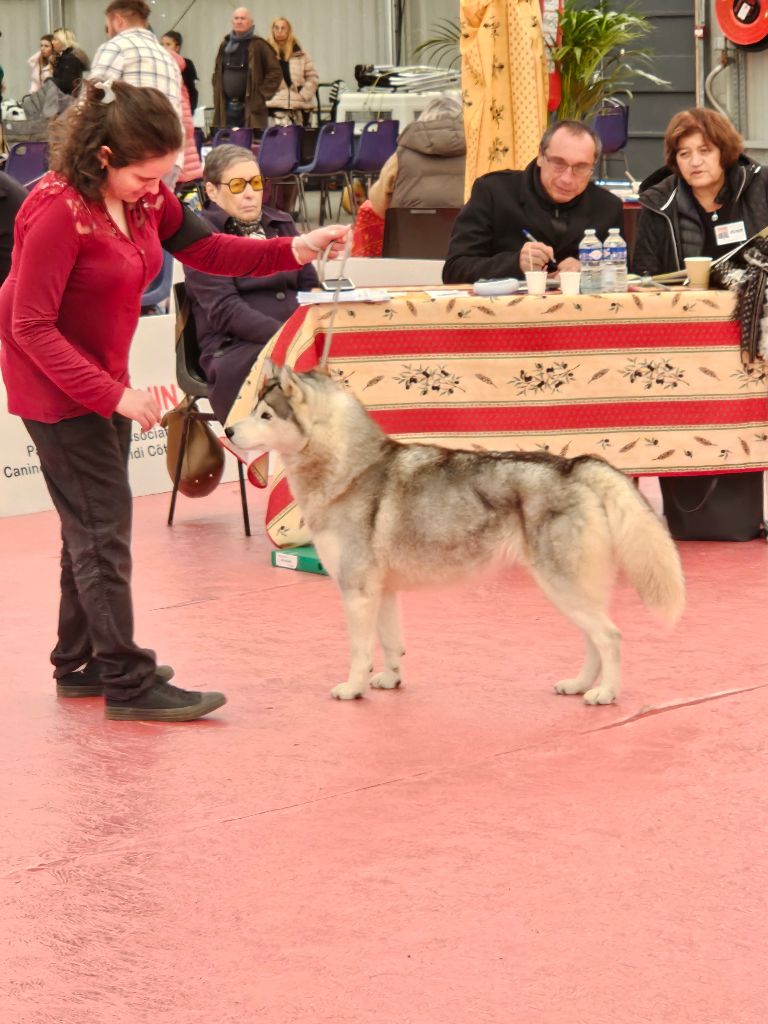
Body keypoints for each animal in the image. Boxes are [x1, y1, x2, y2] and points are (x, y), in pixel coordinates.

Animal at [227, 364, 684, 708]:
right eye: (253, 409)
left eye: (265, 415)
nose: (229, 431)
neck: (350, 469)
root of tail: (574, 466)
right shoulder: (383, 592)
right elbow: (391, 644)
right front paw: (391, 680)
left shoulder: (357, 591)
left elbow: (360, 651)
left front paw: (353, 688)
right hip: (572, 592)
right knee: (594, 639)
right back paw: (580, 684)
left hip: (563, 586)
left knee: (610, 637)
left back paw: (605, 693)